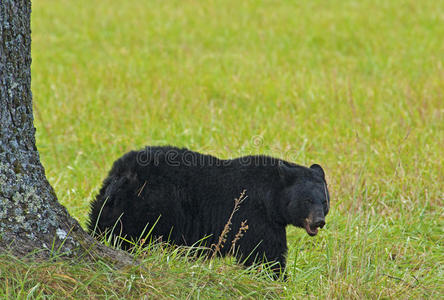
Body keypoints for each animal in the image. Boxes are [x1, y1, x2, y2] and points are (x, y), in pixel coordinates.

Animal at [87, 145, 330, 276]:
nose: (318, 221)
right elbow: (264, 254)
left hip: (111, 203)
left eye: (325, 201)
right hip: (144, 206)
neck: (271, 195)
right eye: (307, 200)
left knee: (102, 224)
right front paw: (275, 279)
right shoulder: (254, 215)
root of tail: (121, 175)